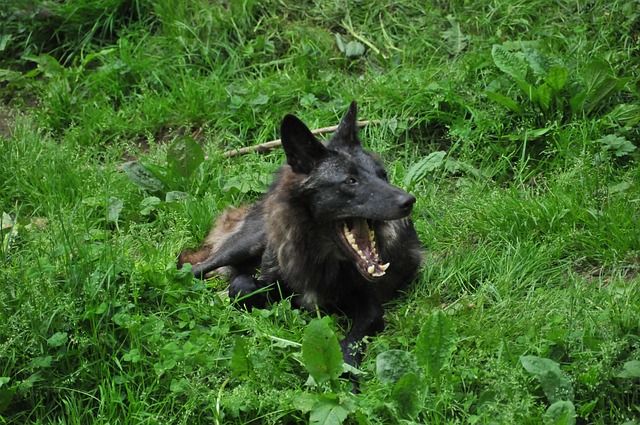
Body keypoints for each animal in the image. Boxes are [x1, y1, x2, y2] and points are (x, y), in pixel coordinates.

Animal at [179, 101, 423, 366]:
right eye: (351, 181)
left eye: (383, 175)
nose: (409, 201)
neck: (320, 258)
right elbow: (242, 285)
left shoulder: (371, 307)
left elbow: (352, 342)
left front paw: (345, 370)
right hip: (242, 246)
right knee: (197, 267)